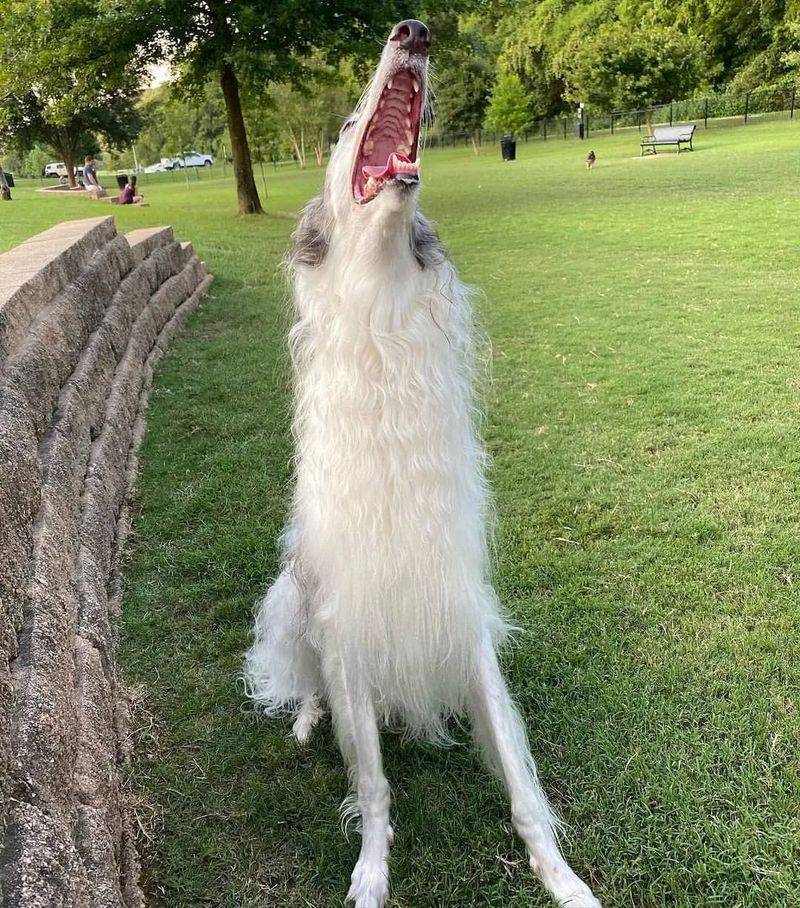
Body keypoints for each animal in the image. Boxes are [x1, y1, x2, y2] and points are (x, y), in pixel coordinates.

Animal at [244, 19, 600, 908]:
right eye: (344, 125)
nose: (414, 30)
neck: (381, 328)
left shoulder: (459, 610)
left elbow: (520, 781)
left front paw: (563, 879)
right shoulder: (348, 626)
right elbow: (372, 784)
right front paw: (371, 874)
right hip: (294, 599)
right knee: (299, 676)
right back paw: (304, 718)